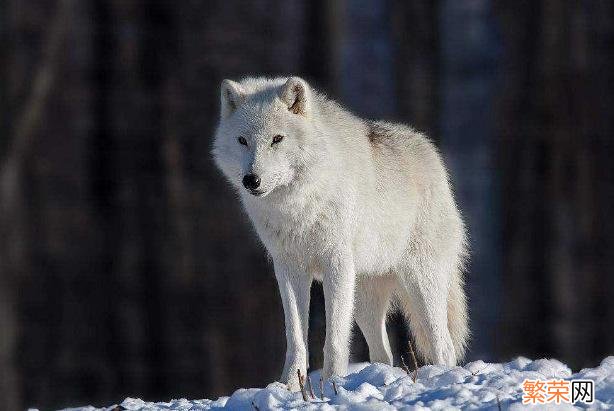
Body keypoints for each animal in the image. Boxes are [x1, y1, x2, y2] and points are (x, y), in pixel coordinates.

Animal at [214, 76, 470, 390]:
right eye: (242, 141)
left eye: (277, 139)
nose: (251, 180)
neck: (297, 205)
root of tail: (431, 153)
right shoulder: (289, 269)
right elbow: (295, 337)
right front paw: (290, 387)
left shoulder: (335, 264)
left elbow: (335, 340)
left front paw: (332, 384)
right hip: (362, 298)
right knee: (383, 353)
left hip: (419, 283)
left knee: (443, 345)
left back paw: (442, 378)